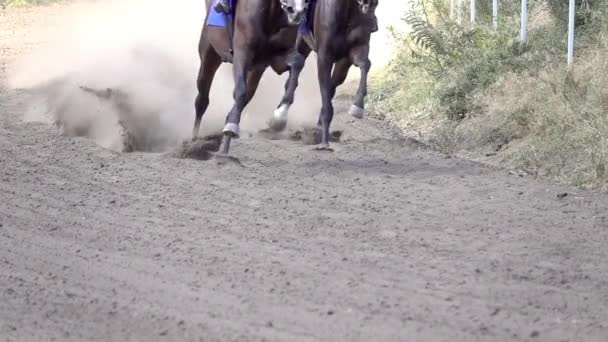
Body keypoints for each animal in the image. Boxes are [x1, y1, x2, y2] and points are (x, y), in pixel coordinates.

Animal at [194, 0, 312, 154]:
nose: (297, 12)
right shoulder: (241, 52)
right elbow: (240, 89)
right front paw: (231, 126)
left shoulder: (276, 56)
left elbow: (298, 62)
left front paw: (279, 117)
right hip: (209, 53)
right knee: (202, 99)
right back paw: (194, 140)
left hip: (257, 69)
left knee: (246, 96)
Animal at [268, 0, 378, 150]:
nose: (373, 24)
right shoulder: (324, 58)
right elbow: (324, 90)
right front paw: (324, 142)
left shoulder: (351, 53)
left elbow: (365, 64)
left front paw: (357, 106)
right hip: (300, 42)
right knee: (293, 73)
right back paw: (279, 116)